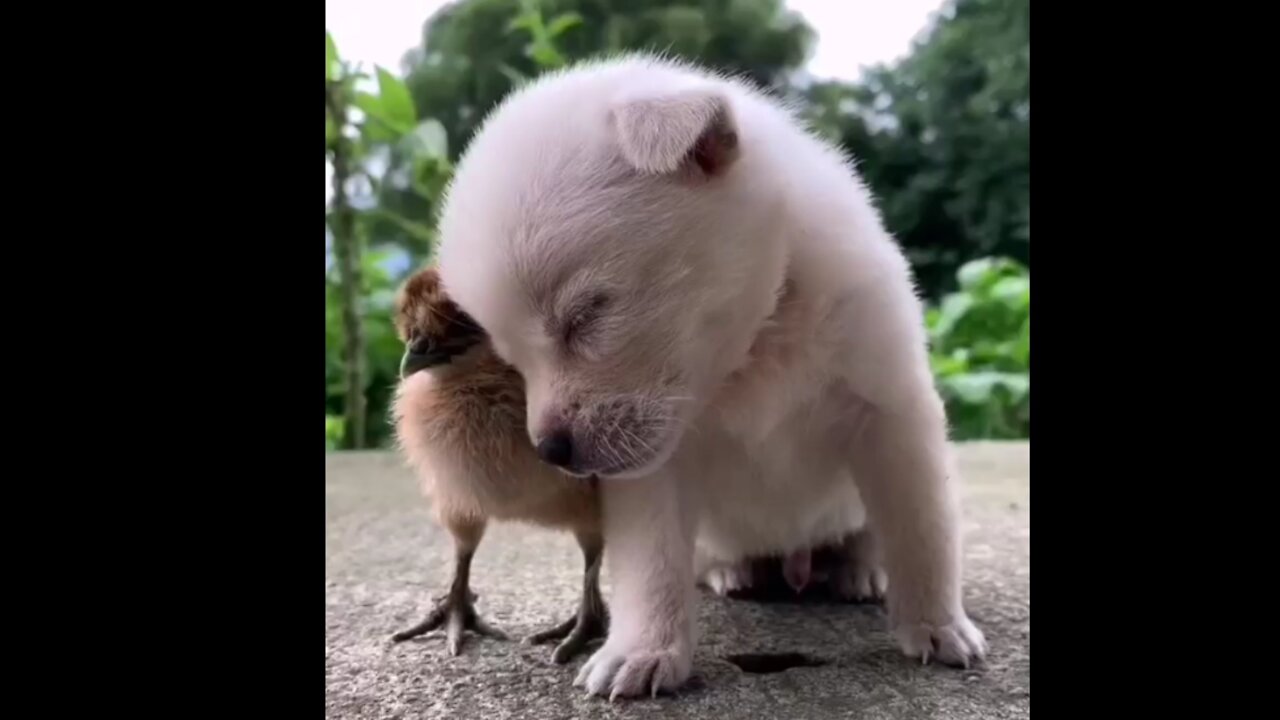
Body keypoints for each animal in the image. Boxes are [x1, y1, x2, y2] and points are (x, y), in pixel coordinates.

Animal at [435, 54, 983, 696]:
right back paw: (732, 570)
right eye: (509, 357)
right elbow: (652, 564)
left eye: (586, 315)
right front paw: (644, 651)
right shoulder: (657, 470)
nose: (551, 451)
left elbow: (923, 532)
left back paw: (860, 569)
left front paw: (936, 626)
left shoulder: (892, 412)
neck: (754, 348)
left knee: (867, 532)